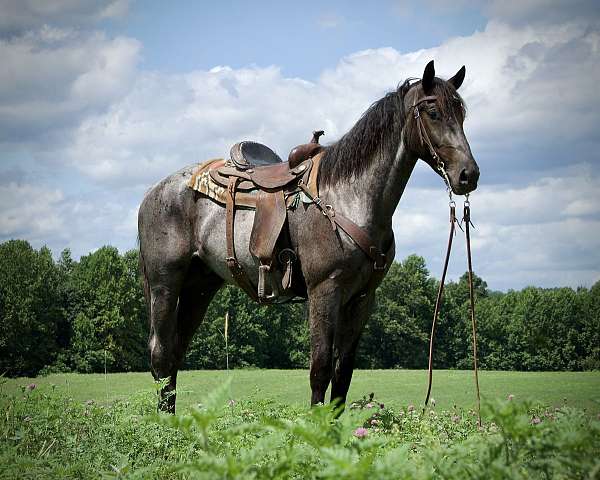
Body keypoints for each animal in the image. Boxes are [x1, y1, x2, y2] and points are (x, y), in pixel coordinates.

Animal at [136, 60, 478, 412]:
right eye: (433, 112)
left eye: (461, 114)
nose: (469, 175)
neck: (348, 198)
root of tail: (154, 192)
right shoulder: (324, 290)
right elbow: (321, 368)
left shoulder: (362, 298)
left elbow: (343, 373)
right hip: (165, 284)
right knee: (162, 355)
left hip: (199, 287)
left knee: (174, 355)